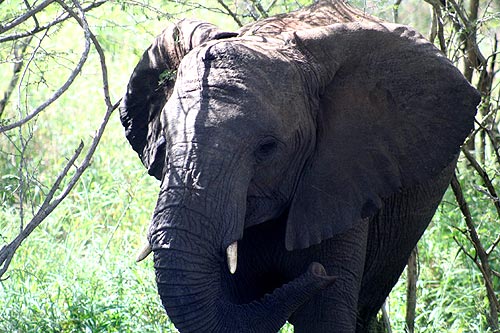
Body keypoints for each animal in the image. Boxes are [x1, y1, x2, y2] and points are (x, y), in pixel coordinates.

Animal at [119, 1, 478, 330]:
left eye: (267, 148)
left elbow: (325, 319)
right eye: (165, 137)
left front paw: (321, 273)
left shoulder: (342, 176)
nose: (319, 273)